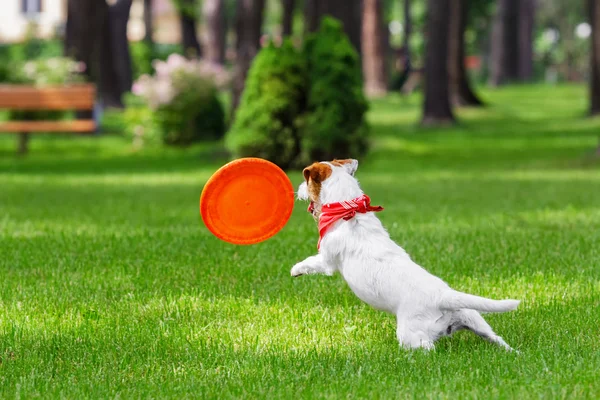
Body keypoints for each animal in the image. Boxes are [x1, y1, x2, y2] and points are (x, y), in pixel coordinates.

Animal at [292, 158, 520, 352]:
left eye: (306, 180)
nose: (297, 190)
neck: (348, 209)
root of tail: (442, 297)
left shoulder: (326, 260)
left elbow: (310, 262)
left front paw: (295, 270)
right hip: (474, 318)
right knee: (496, 338)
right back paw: (513, 352)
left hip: (411, 334)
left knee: (427, 348)